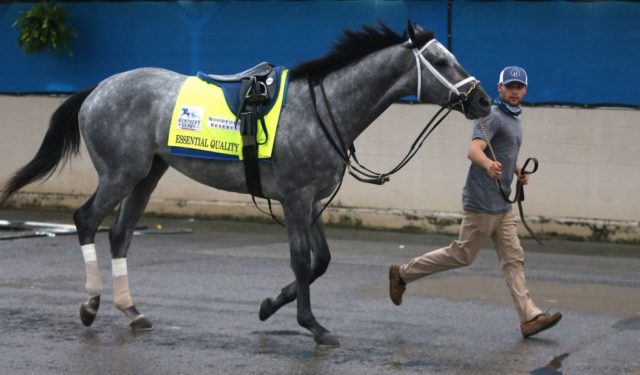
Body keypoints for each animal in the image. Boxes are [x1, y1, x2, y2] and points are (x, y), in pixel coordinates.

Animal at [0, 22, 490, 346]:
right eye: (441, 61)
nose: (483, 100)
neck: (323, 107)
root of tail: (98, 89)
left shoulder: (311, 200)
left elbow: (321, 261)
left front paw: (270, 305)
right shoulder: (295, 198)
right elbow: (301, 261)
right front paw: (313, 325)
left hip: (146, 175)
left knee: (120, 234)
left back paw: (132, 311)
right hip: (120, 173)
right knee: (86, 220)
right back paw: (91, 304)